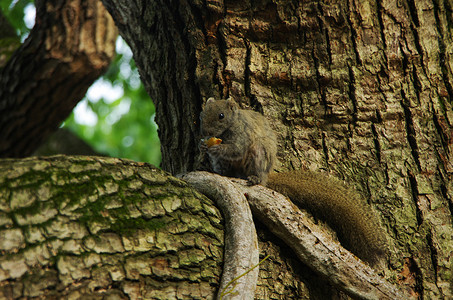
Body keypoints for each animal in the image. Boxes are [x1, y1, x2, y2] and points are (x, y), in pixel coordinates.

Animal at [200, 97, 386, 266]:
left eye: (221, 116)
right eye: (203, 113)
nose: (205, 131)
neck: (228, 129)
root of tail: (267, 175)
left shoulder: (242, 134)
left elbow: (236, 149)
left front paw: (216, 147)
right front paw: (202, 146)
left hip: (258, 154)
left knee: (256, 172)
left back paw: (254, 178)